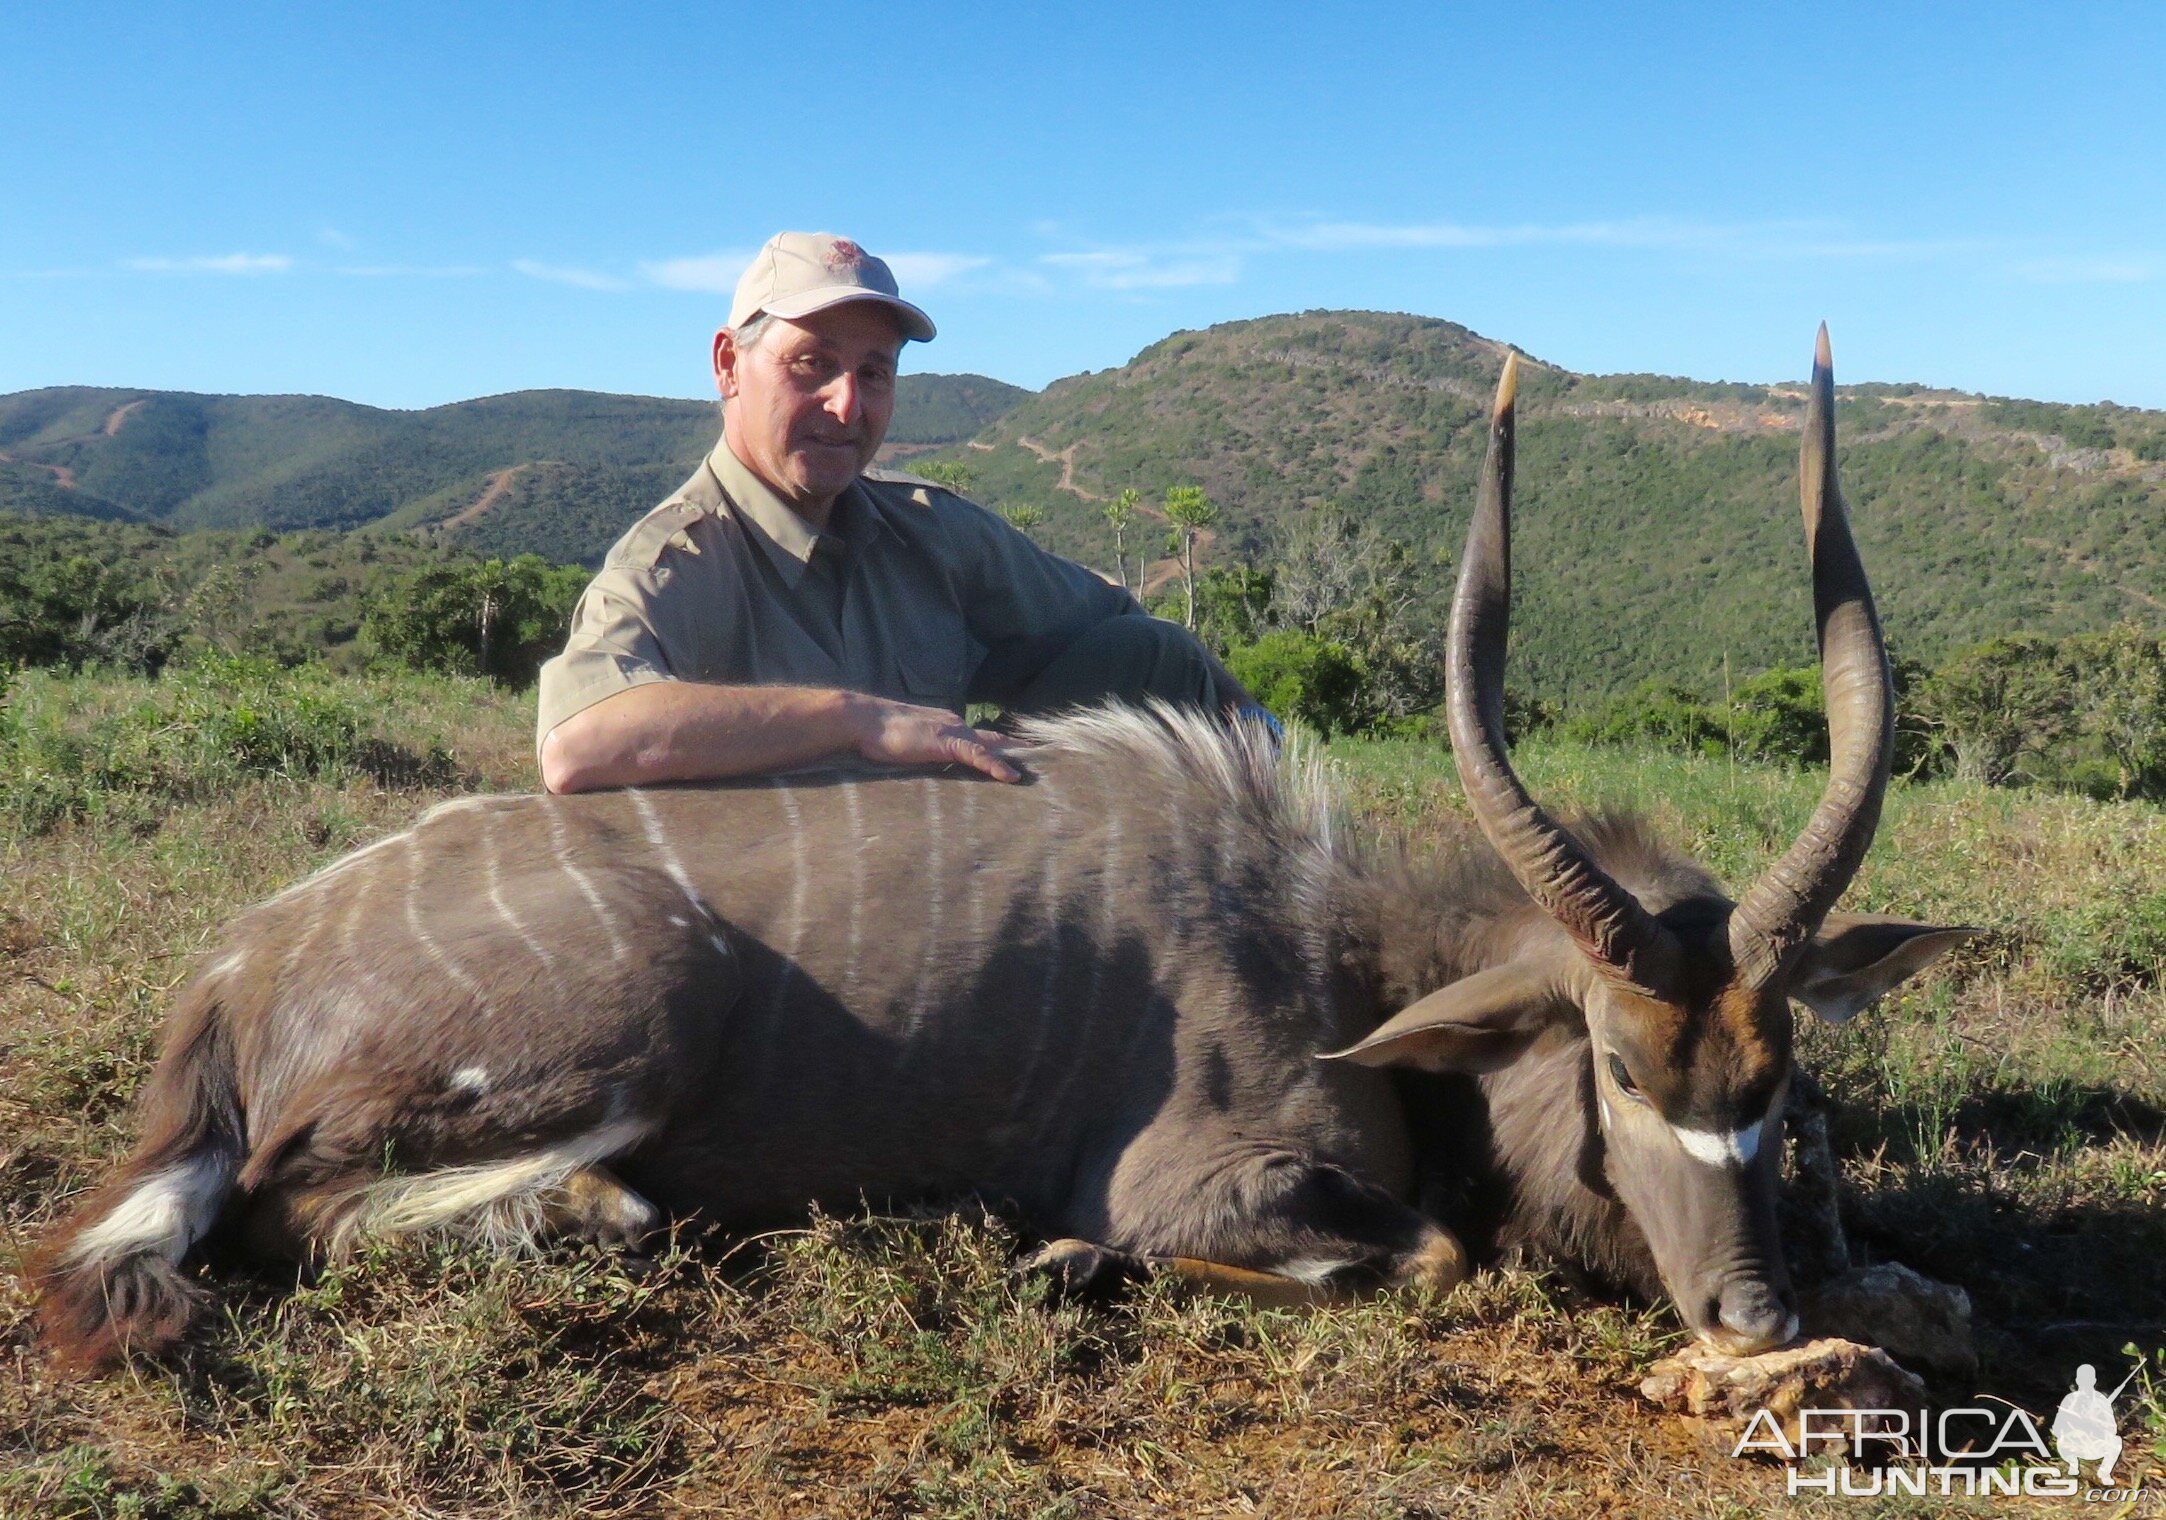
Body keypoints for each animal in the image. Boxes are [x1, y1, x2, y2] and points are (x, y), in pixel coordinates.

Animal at [33, 331, 1975, 1368]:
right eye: (1616, 1065)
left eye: (1778, 1081)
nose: (1751, 1315)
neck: (1336, 955)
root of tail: (235, 974)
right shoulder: (1204, 1179)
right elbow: (1415, 1252)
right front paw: (1055, 1262)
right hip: (616, 1029)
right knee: (306, 1211)